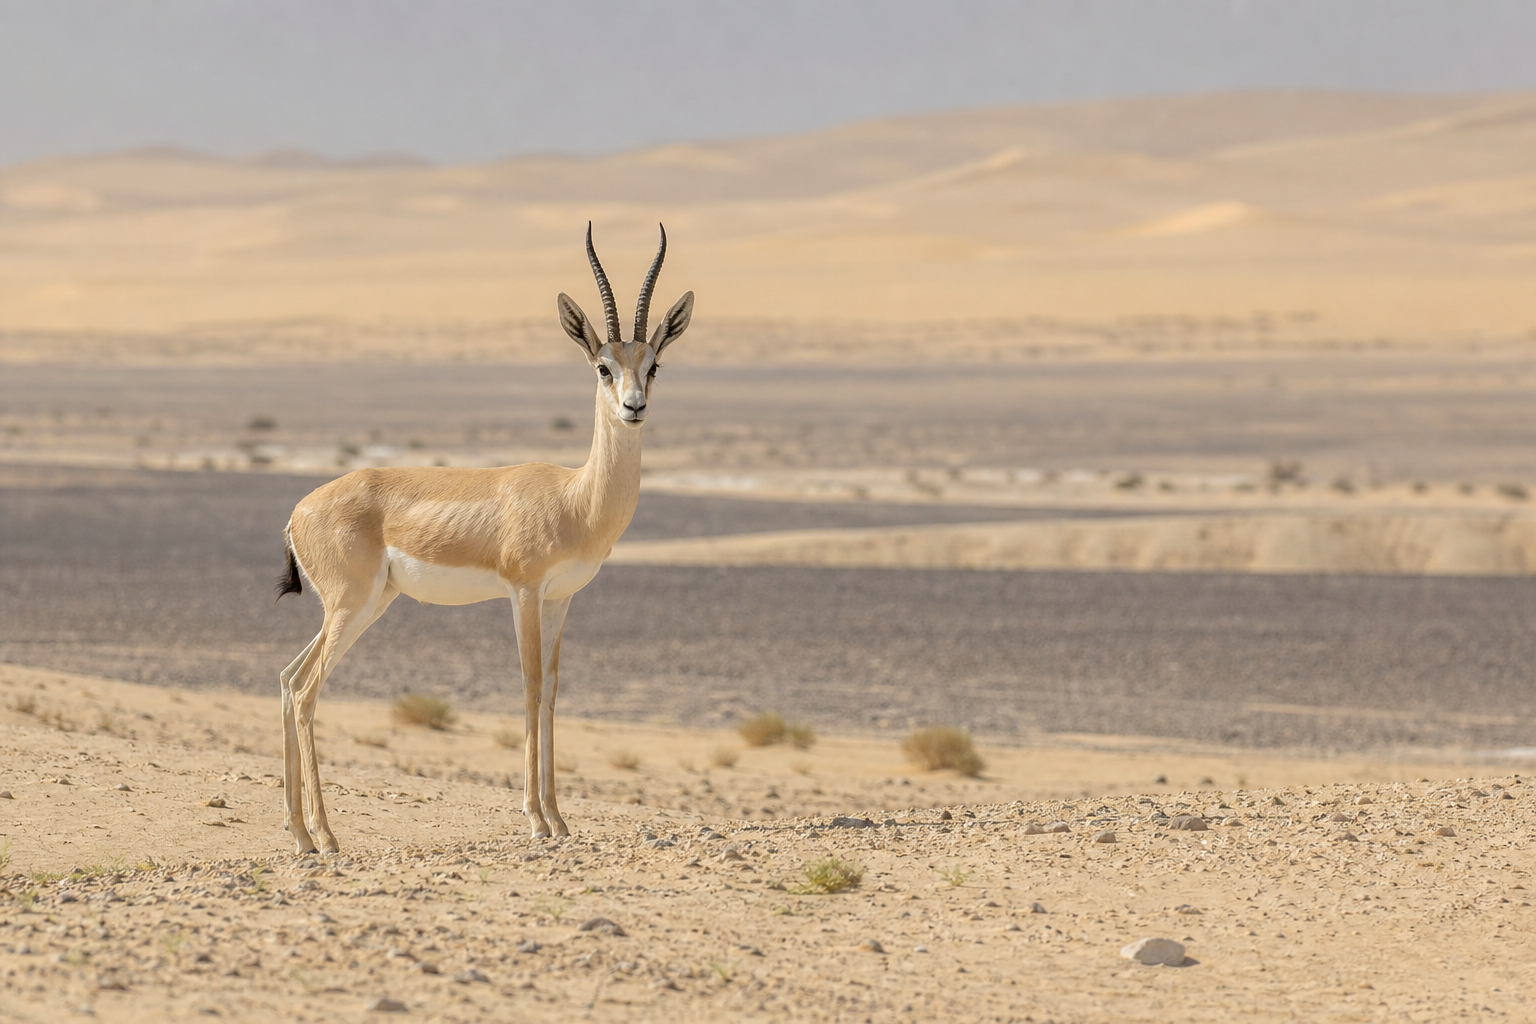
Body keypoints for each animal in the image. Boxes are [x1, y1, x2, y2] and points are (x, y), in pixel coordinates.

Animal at [274, 224, 693, 852]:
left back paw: (298, 832)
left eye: (655, 364)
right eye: (602, 366)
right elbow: (528, 683)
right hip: (350, 606)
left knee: (287, 678)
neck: (574, 498)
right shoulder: (523, 592)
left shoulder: (561, 599)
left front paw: (560, 819)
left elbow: (552, 690)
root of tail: (297, 512)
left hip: (367, 604)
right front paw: (537, 819)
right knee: (305, 691)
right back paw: (325, 836)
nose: (633, 407)